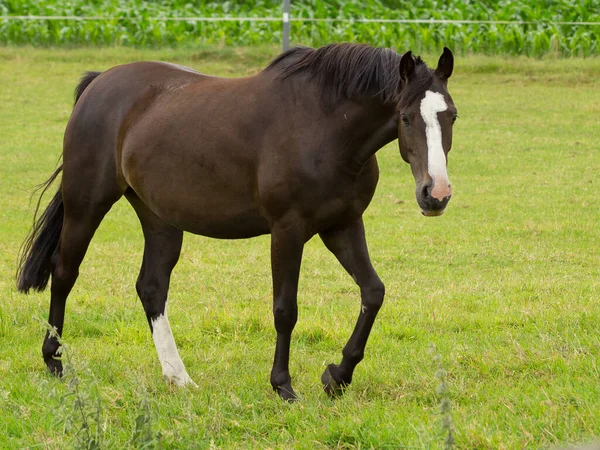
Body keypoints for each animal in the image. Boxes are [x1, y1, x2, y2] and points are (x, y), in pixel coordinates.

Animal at [16, 43, 458, 400]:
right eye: (405, 117)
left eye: (451, 115)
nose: (435, 194)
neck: (324, 127)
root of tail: (98, 83)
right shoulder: (288, 230)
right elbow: (285, 309)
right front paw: (283, 385)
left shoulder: (342, 225)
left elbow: (373, 293)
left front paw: (337, 376)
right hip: (87, 204)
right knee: (64, 273)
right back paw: (54, 361)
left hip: (159, 218)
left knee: (151, 288)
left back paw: (178, 377)